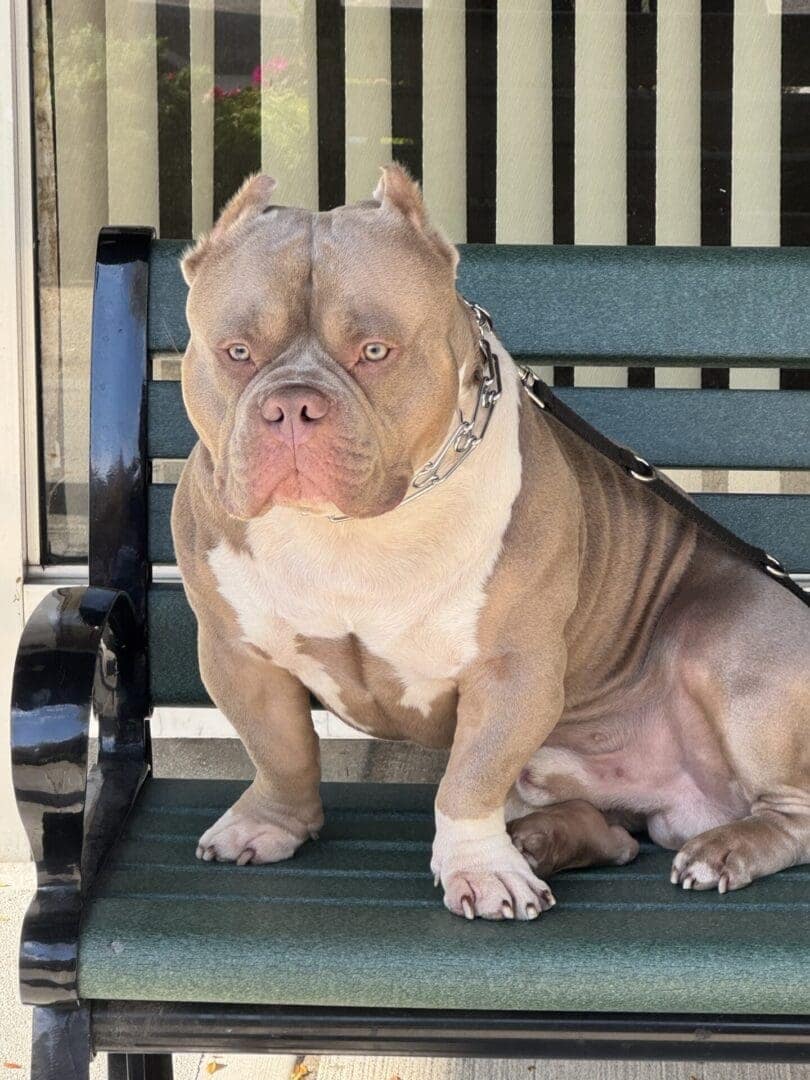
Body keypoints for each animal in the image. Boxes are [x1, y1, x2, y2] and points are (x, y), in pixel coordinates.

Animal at [172, 162, 810, 920]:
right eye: (236, 352)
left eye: (375, 351)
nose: (291, 406)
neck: (349, 530)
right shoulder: (237, 653)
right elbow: (279, 750)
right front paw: (271, 823)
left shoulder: (511, 670)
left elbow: (470, 778)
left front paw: (480, 869)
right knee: (612, 836)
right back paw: (542, 839)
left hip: (735, 645)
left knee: (792, 811)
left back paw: (724, 850)